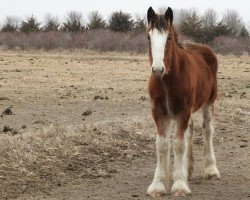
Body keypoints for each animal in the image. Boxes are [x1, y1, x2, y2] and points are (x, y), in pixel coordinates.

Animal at [146, 6, 221, 197]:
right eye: (149, 37)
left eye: (169, 38)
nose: (157, 70)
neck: (167, 79)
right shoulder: (158, 111)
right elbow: (162, 144)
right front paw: (158, 184)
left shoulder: (183, 110)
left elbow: (179, 144)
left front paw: (179, 185)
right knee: (190, 130)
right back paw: (187, 169)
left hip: (208, 102)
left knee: (207, 130)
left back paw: (211, 169)